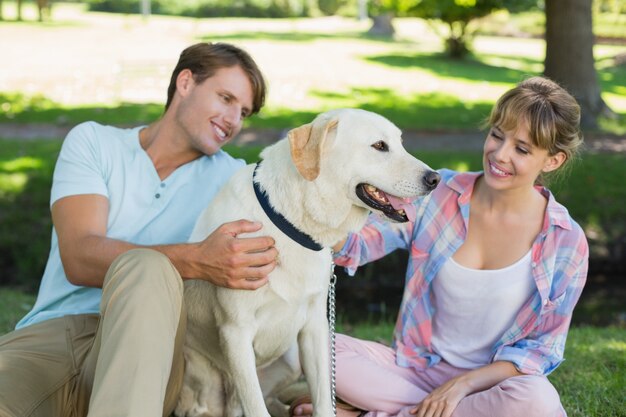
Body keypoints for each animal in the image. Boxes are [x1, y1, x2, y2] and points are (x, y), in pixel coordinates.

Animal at [176, 109, 438, 416]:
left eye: (400, 143)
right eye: (379, 146)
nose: (435, 179)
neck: (289, 223)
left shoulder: (315, 325)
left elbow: (323, 397)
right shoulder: (235, 331)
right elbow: (256, 406)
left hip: (291, 360)